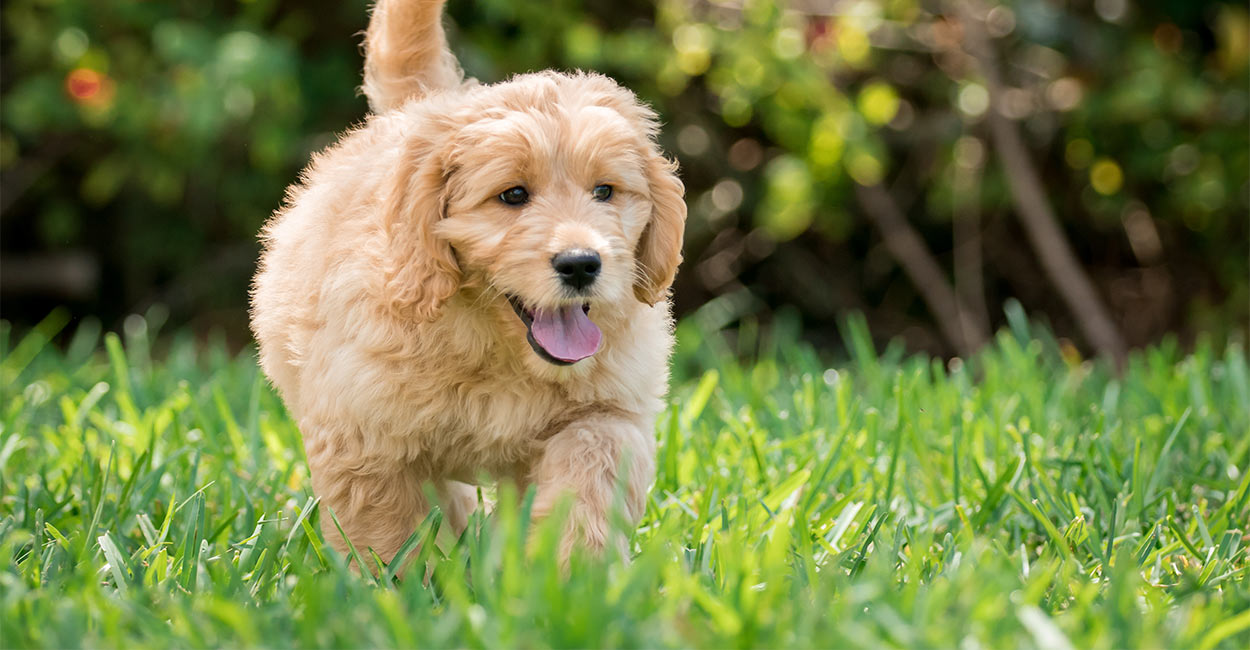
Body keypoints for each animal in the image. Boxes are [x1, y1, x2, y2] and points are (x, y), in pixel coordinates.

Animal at [250, 0, 690, 562]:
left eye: (605, 191)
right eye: (513, 195)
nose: (581, 264)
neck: (499, 353)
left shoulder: (608, 410)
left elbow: (589, 474)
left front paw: (571, 571)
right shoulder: (363, 436)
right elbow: (384, 531)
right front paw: (391, 583)